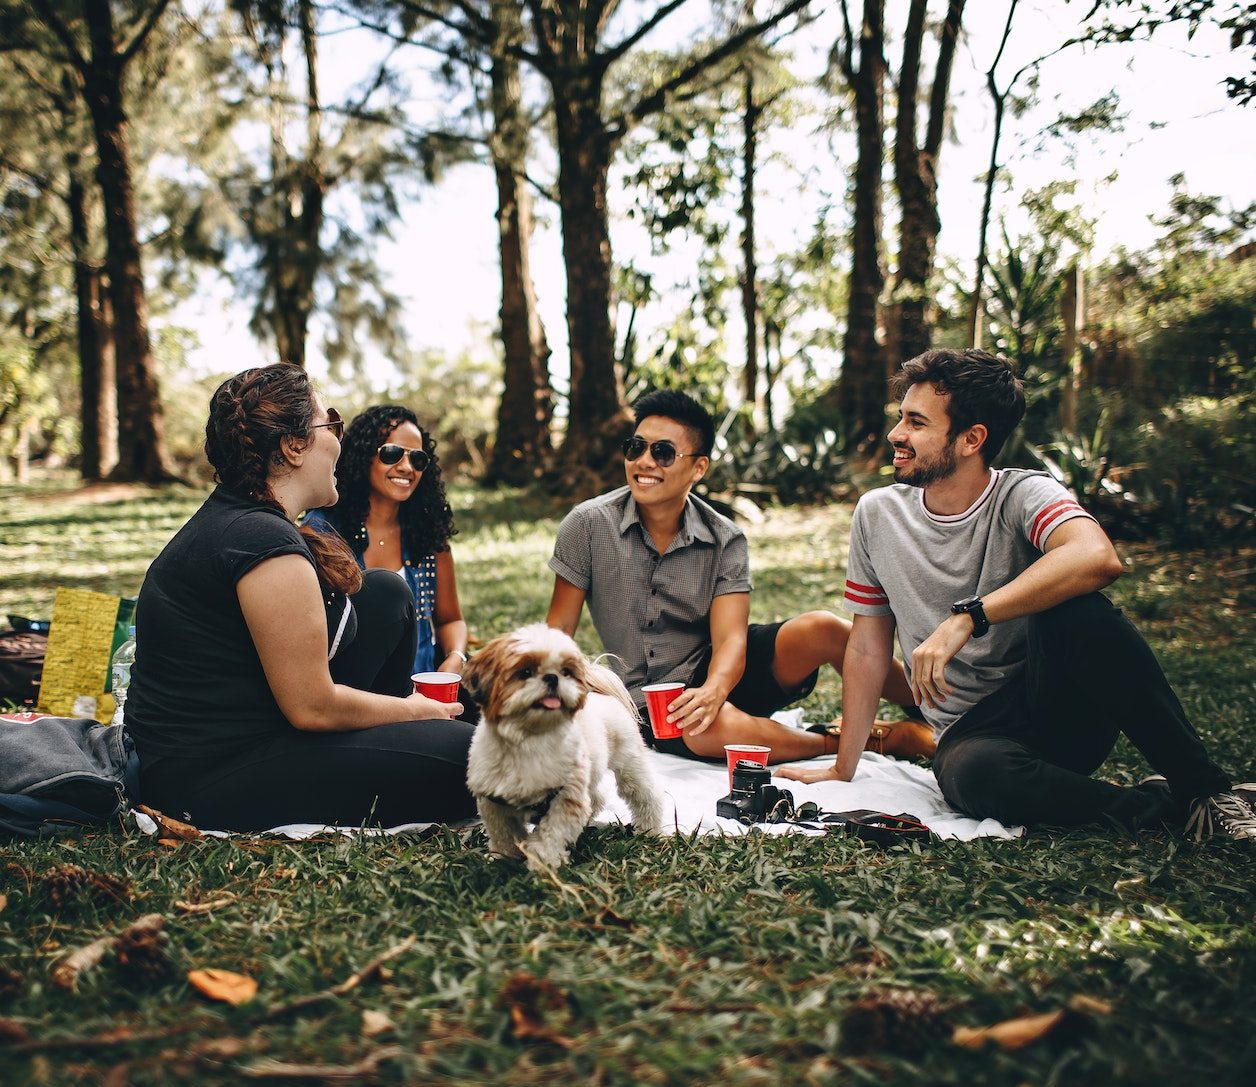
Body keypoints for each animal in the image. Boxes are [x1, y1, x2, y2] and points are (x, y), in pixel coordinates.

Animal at [464, 623, 668, 869]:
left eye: (566, 672)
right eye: (525, 672)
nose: (552, 678)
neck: (529, 739)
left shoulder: (565, 798)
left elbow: (551, 835)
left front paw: (542, 863)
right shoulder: (494, 801)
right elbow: (503, 833)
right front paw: (503, 858)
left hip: (629, 763)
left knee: (646, 795)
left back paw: (650, 830)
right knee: (596, 797)